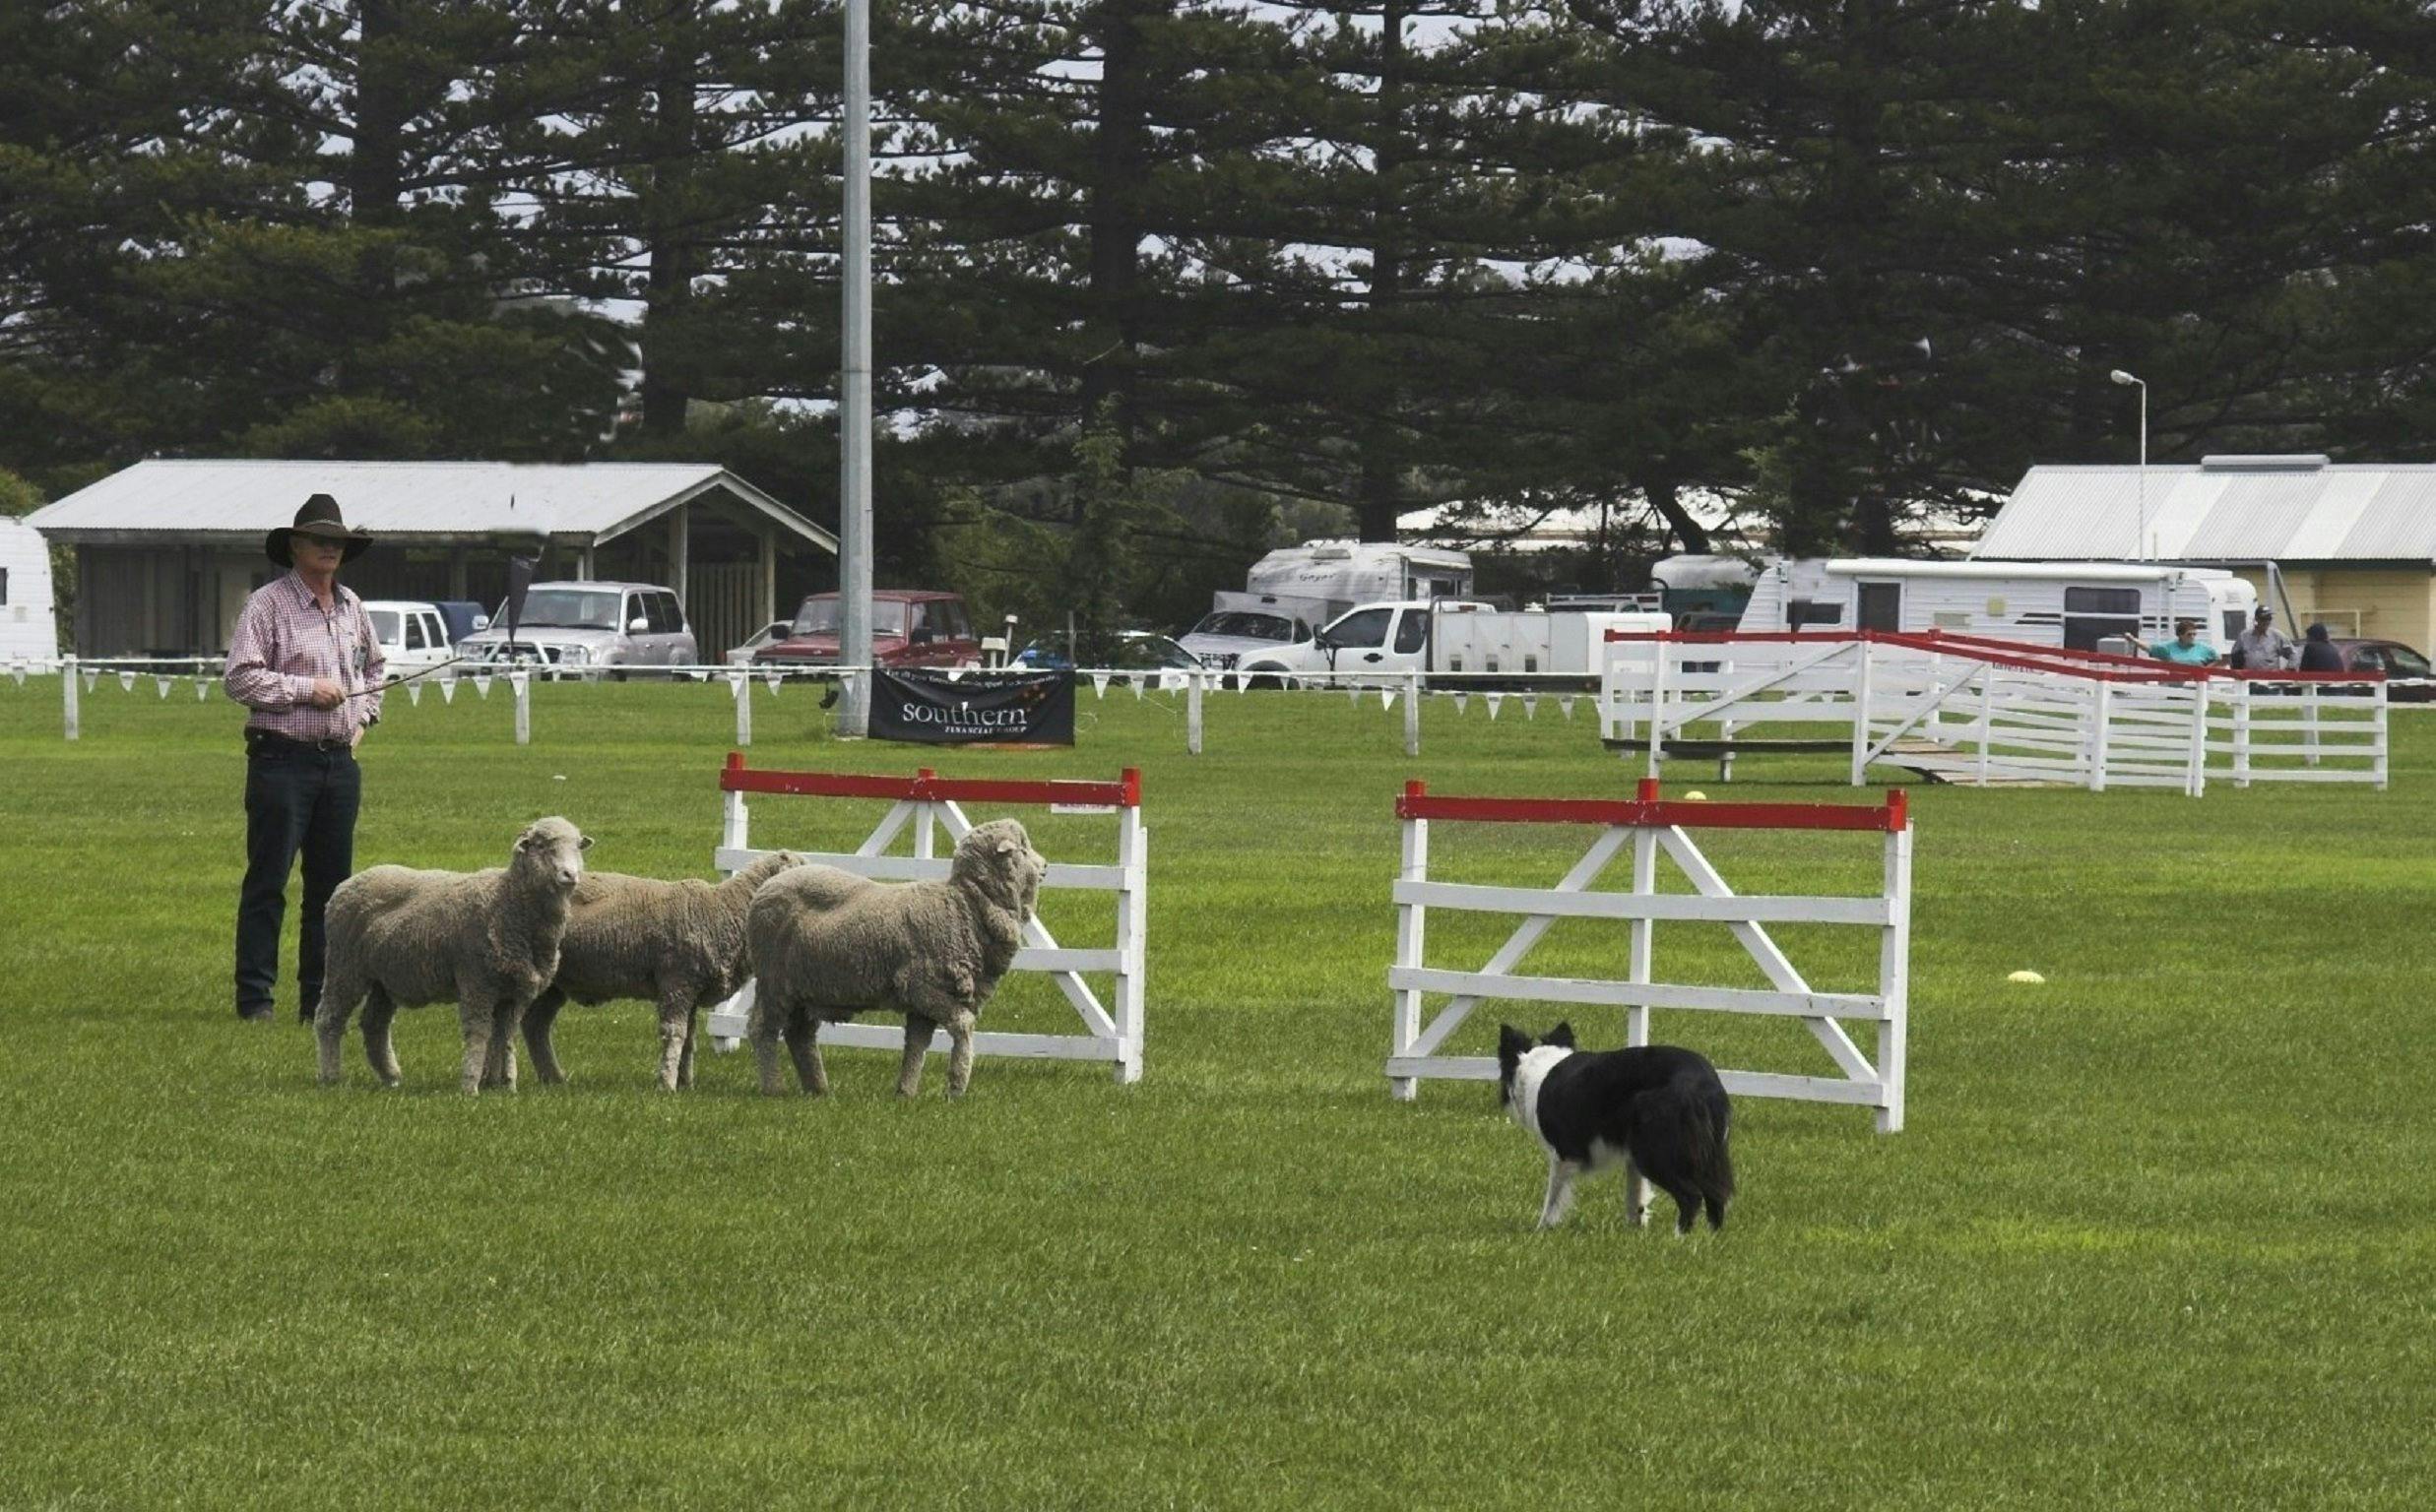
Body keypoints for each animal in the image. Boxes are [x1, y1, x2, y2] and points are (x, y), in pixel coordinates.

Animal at [314, 818, 589, 1091]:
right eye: (542, 846)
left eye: (578, 847)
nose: (570, 875)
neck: (507, 902)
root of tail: (348, 883)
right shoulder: (477, 982)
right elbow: (480, 1033)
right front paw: (471, 1085)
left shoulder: (517, 991)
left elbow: (506, 1036)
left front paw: (505, 1085)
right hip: (344, 966)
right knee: (329, 1018)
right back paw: (331, 1076)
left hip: (384, 979)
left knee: (375, 1025)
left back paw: (391, 1078)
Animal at [526, 847, 808, 1086]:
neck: (722, 910)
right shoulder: (677, 982)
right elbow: (675, 1034)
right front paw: (667, 1082)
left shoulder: (692, 990)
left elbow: (690, 1039)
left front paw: (686, 1083)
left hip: (554, 985)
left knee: (536, 1026)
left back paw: (553, 1079)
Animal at [745, 813, 1042, 1096]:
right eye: (1023, 850)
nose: (1045, 867)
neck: (965, 904)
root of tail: (769, 884)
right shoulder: (922, 986)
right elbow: (963, 1024)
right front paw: (957, 1084)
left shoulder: (923, 1002)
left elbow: (917, 1045)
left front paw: (906, 1092)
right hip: (774, 981)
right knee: (762, 1030)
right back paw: (774, 1087)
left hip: (803, 987)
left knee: (800, 1035)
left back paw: (817, 1088)